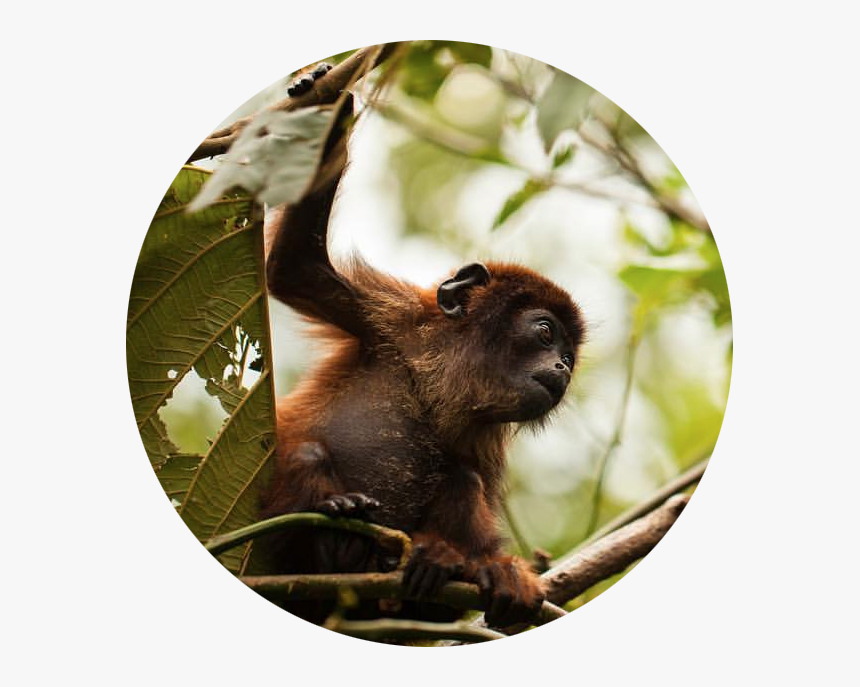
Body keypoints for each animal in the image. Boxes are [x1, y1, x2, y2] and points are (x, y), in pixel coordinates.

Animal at [258, 69, 585, 629]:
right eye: (546, 333)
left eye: (569, 355)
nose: (562, 366)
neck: (447, 376)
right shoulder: (394, 316)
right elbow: (294, 268)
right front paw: (332, 104)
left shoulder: (486, 432)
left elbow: (478, 488)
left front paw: (497, 569)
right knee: (305, 451)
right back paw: (337, 523)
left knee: (463, 480)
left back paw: (435, 561)